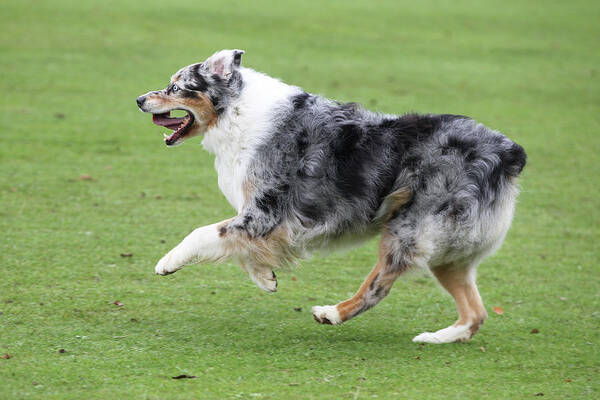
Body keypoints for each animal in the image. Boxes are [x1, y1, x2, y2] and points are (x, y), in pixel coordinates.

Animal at [135, 49, 524, 344]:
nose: (139, 99)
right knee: (476, 313)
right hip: (448, 253)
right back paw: (437, 337)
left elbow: (204, 233)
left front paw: (168, 261)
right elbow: (245, 249)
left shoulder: (264, 212)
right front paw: (266, 277)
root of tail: (507, 152)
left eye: (175, 87)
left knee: (378, 287)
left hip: (408, 228)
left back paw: (332, 313)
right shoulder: (263, 220)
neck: (236, 112)